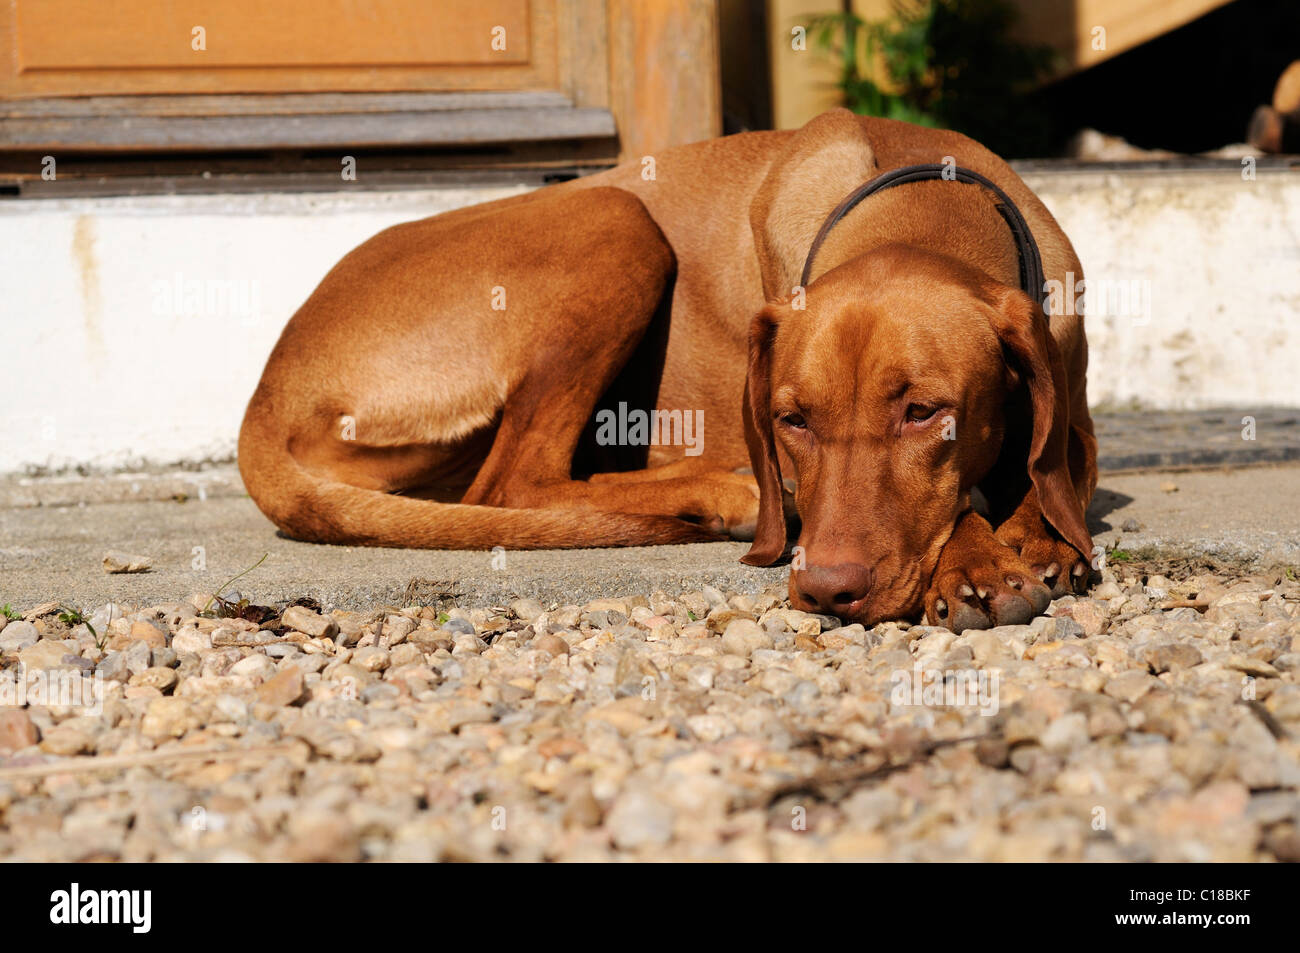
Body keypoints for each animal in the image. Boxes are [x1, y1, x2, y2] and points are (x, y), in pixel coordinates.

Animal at [239, 107, 1092, 631]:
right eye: (791, 420)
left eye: (924, 412)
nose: (827, 589)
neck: (924, 199)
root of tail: (268, 385)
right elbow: (967, 504)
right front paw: (977, 560)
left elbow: (1051, 476)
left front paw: (1036, 539)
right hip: (617, 219)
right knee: (514, 482)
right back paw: (727, 492)